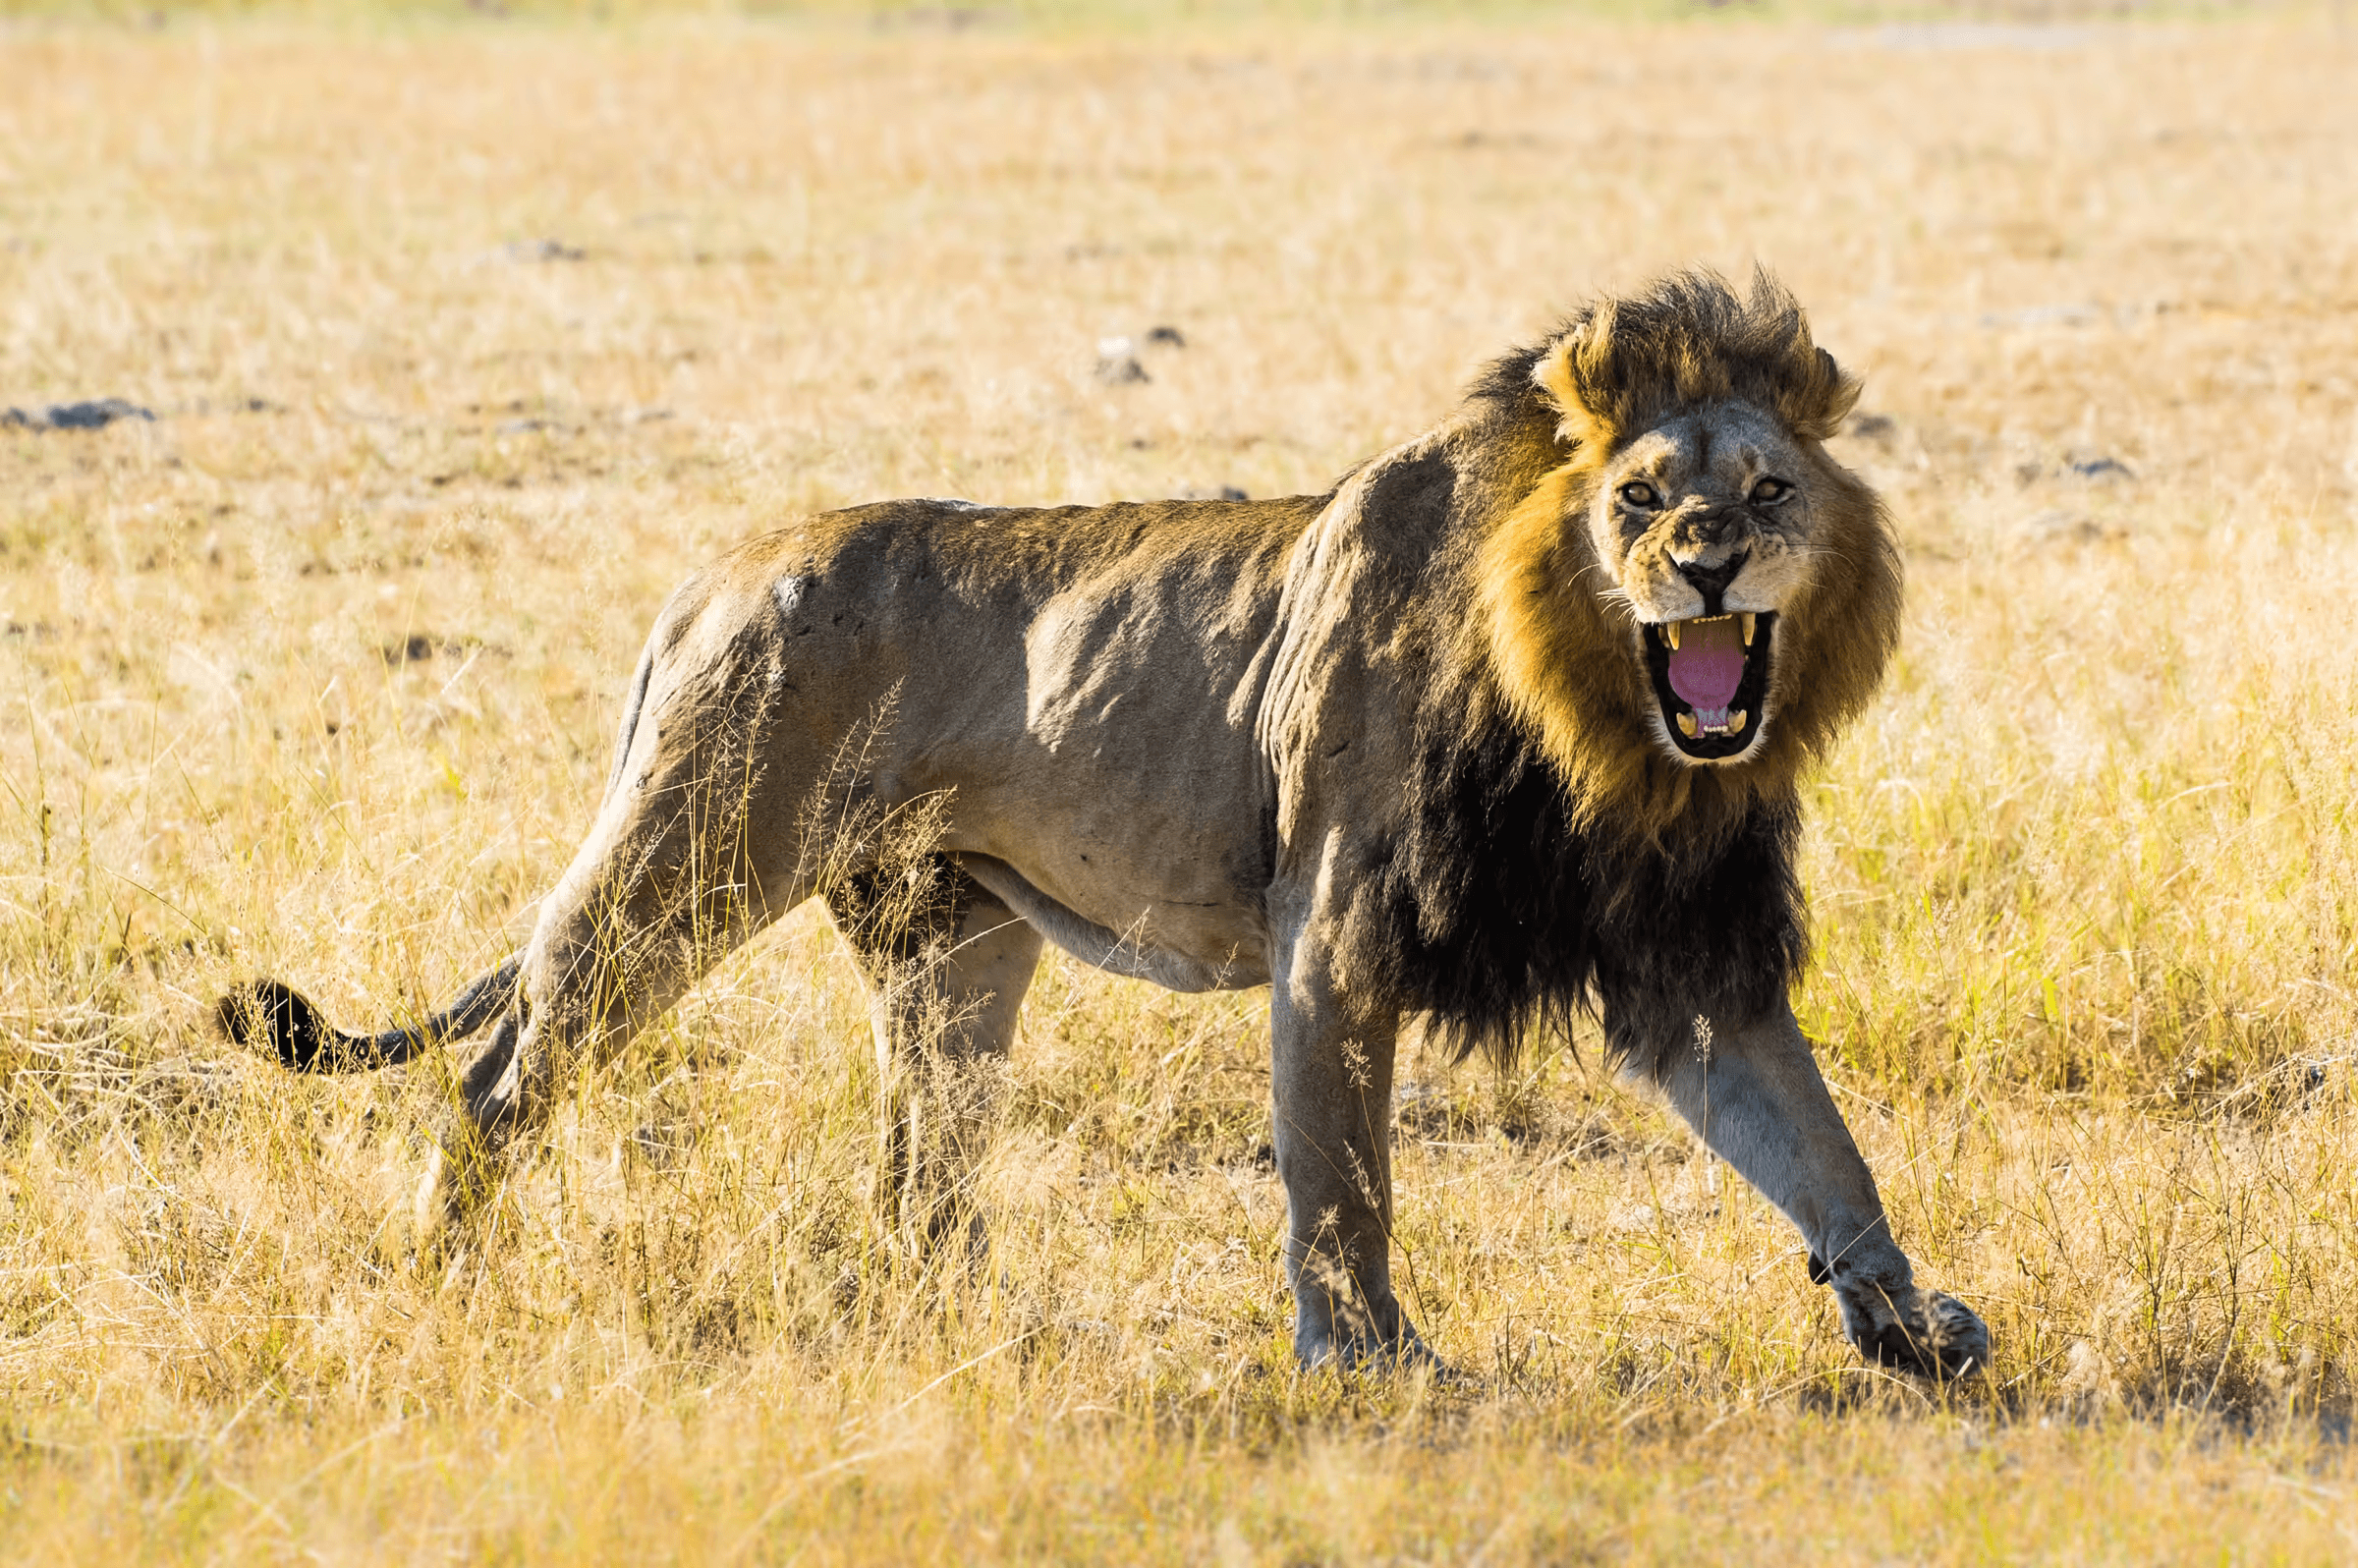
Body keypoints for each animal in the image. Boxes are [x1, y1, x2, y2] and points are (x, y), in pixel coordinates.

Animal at [221, 274, 1990, 1376]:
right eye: (1638, 501)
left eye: (1767, 492)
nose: (1707, 565)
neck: (1605, 729)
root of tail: (714, 570)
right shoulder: (1331, 928)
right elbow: (1344, 1177)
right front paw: (1373, 1364)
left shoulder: (1685, 956)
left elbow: (1819, 1147)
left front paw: (1910, 1328)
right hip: (684, 866)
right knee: (502, 1069)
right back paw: (442, 1270)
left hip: (952, 945)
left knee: (919, 1182)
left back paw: (955, 1335)